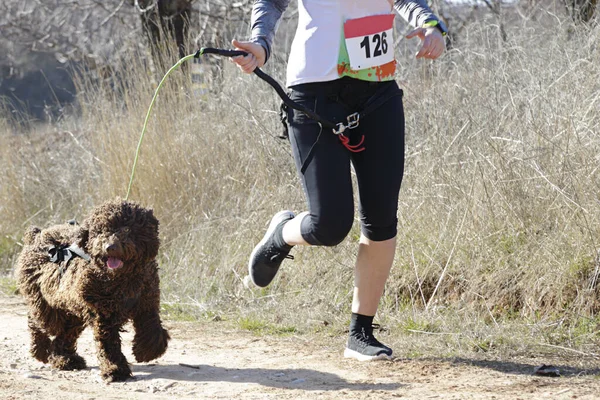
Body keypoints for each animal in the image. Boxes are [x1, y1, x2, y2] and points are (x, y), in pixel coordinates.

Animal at [15, 199, 170, 382]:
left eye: (127, 229)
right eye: (101, 231)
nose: (110, 247)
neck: (122, 279)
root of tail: (36, 235)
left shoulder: (147, 302)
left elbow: (151, 327)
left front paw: (146, 352)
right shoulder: (104, 315)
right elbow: (108, 343)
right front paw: (115, 368)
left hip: (73, 311)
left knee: (65, 336)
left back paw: (65, 359)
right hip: (47, 304)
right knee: (38, 322)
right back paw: (41, 350)